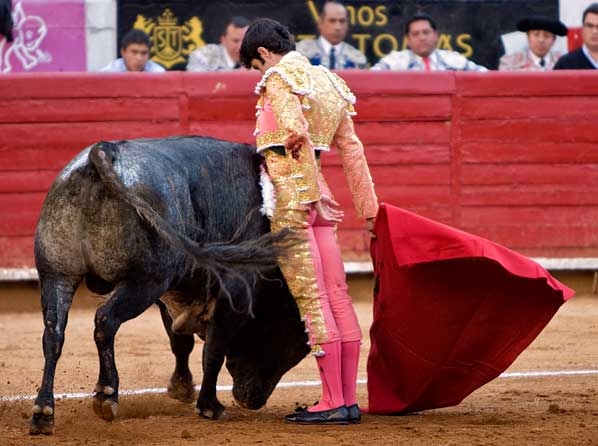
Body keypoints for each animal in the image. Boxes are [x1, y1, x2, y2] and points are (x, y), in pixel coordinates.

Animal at [28, 137, 312, 436]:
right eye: (294, 343)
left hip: (57, 274)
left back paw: (43, 412)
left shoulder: (170, 294)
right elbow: (213, 349)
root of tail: (106, 149)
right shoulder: (232, 290)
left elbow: (180, 342)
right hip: (143, 282)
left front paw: (182, 387)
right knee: (105, 321)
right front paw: (209, 406)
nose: (253, 401)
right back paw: (106, 395)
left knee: (53, 334)